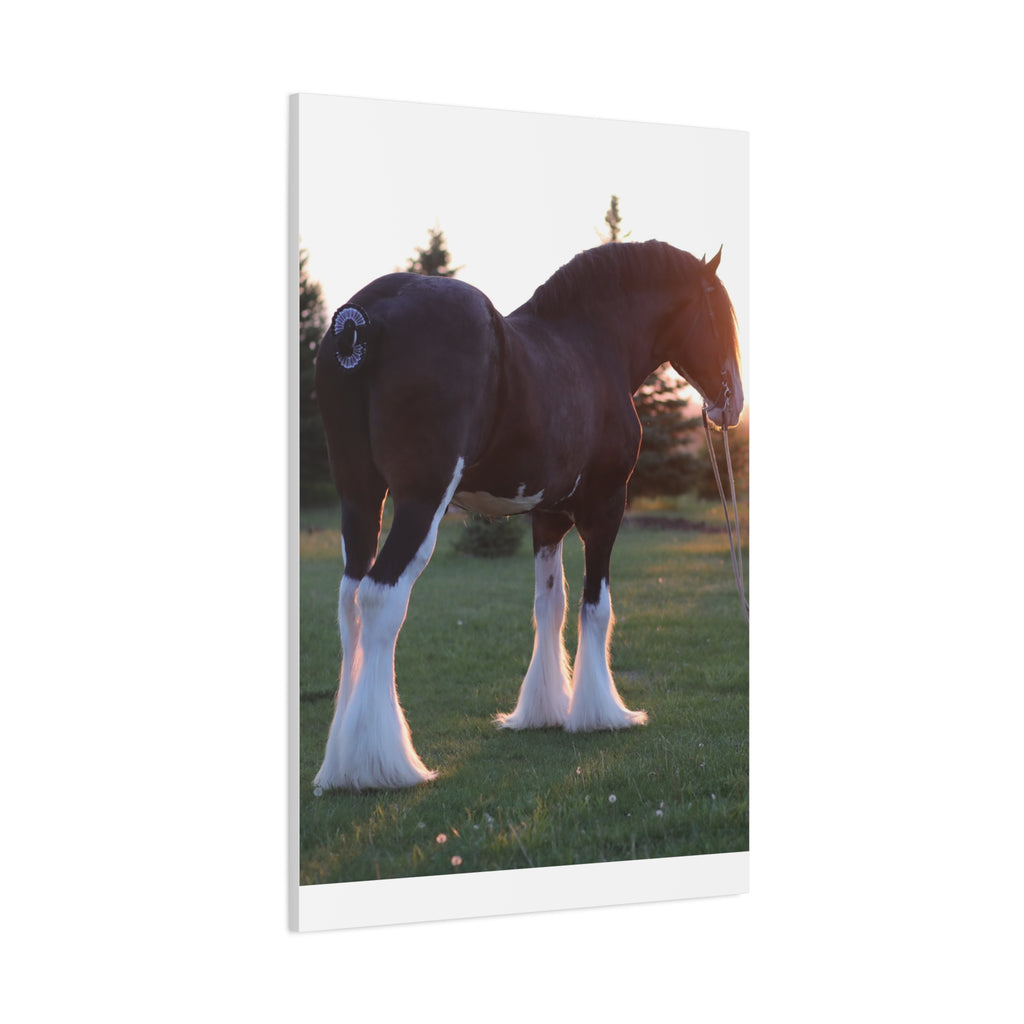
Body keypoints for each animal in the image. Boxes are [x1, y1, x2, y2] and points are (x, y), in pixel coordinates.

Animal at [311, 239, 743, 791]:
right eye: (721, 314)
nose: (733, 404)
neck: (590, 344)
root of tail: (361, 318)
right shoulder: (606, 506)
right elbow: (596, 607)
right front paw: (600, 714)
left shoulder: (548, 517)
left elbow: (549, 605)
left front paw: (544, 710)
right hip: (420, 501)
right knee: (380, 598)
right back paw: (381, 765)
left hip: (361, 497)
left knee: (349, 601)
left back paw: (339, 764)